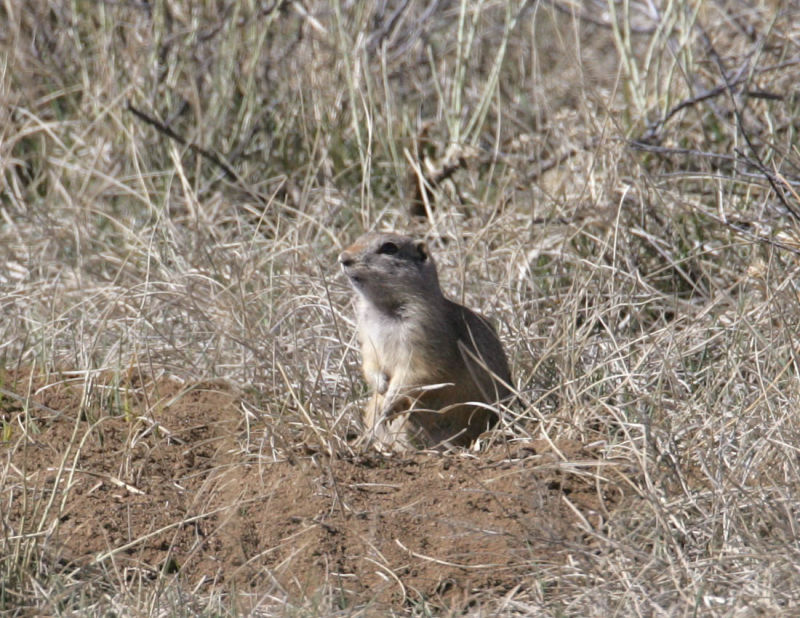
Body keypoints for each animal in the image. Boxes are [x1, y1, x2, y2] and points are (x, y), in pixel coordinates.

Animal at [340, 231, 512, 448]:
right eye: (358, 238)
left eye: (389, 248)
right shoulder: (367, 337)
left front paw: (389, 402)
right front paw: (380, 387)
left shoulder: (422, 337)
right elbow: (370, 363)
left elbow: (417, 373)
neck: (384, 308)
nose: (343, 258)